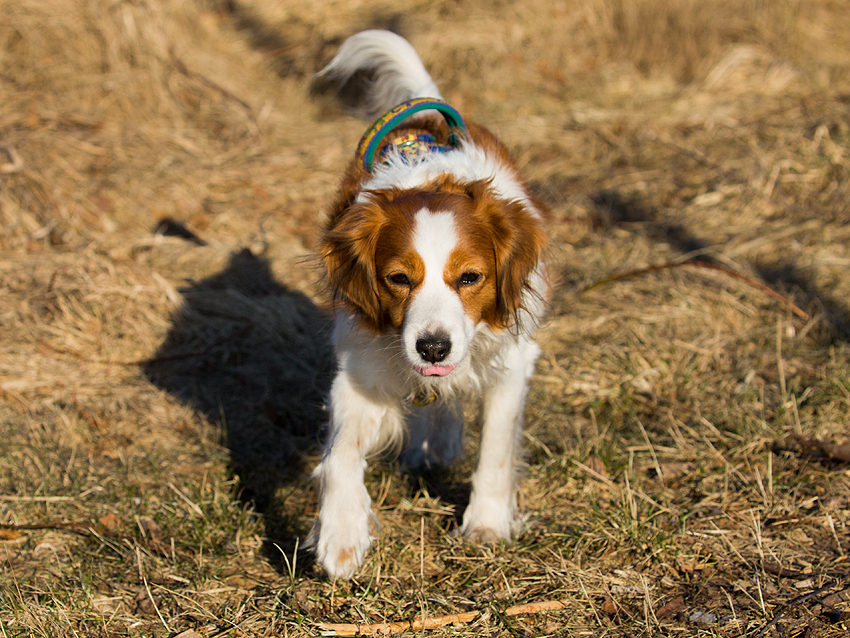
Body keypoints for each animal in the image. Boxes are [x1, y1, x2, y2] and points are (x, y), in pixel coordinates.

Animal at [308, 28, 548, 580]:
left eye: (470, 277)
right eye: (398, 279)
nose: (433, 348)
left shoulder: (510, 362)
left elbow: (496, 448)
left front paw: (486, 524)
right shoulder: (363, 365)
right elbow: (341, 453)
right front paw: (342, 534)